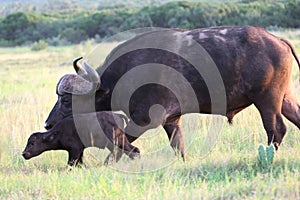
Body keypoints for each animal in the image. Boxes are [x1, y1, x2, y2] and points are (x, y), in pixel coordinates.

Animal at [44, 25, 300, 160]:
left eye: (65, 99)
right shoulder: (172, 120)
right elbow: (179, 147)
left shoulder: (145, 120)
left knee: (276, 129)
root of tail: (277, 40)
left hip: (267, 100)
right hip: (285, 99)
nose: (48, 124)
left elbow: (120, 142)